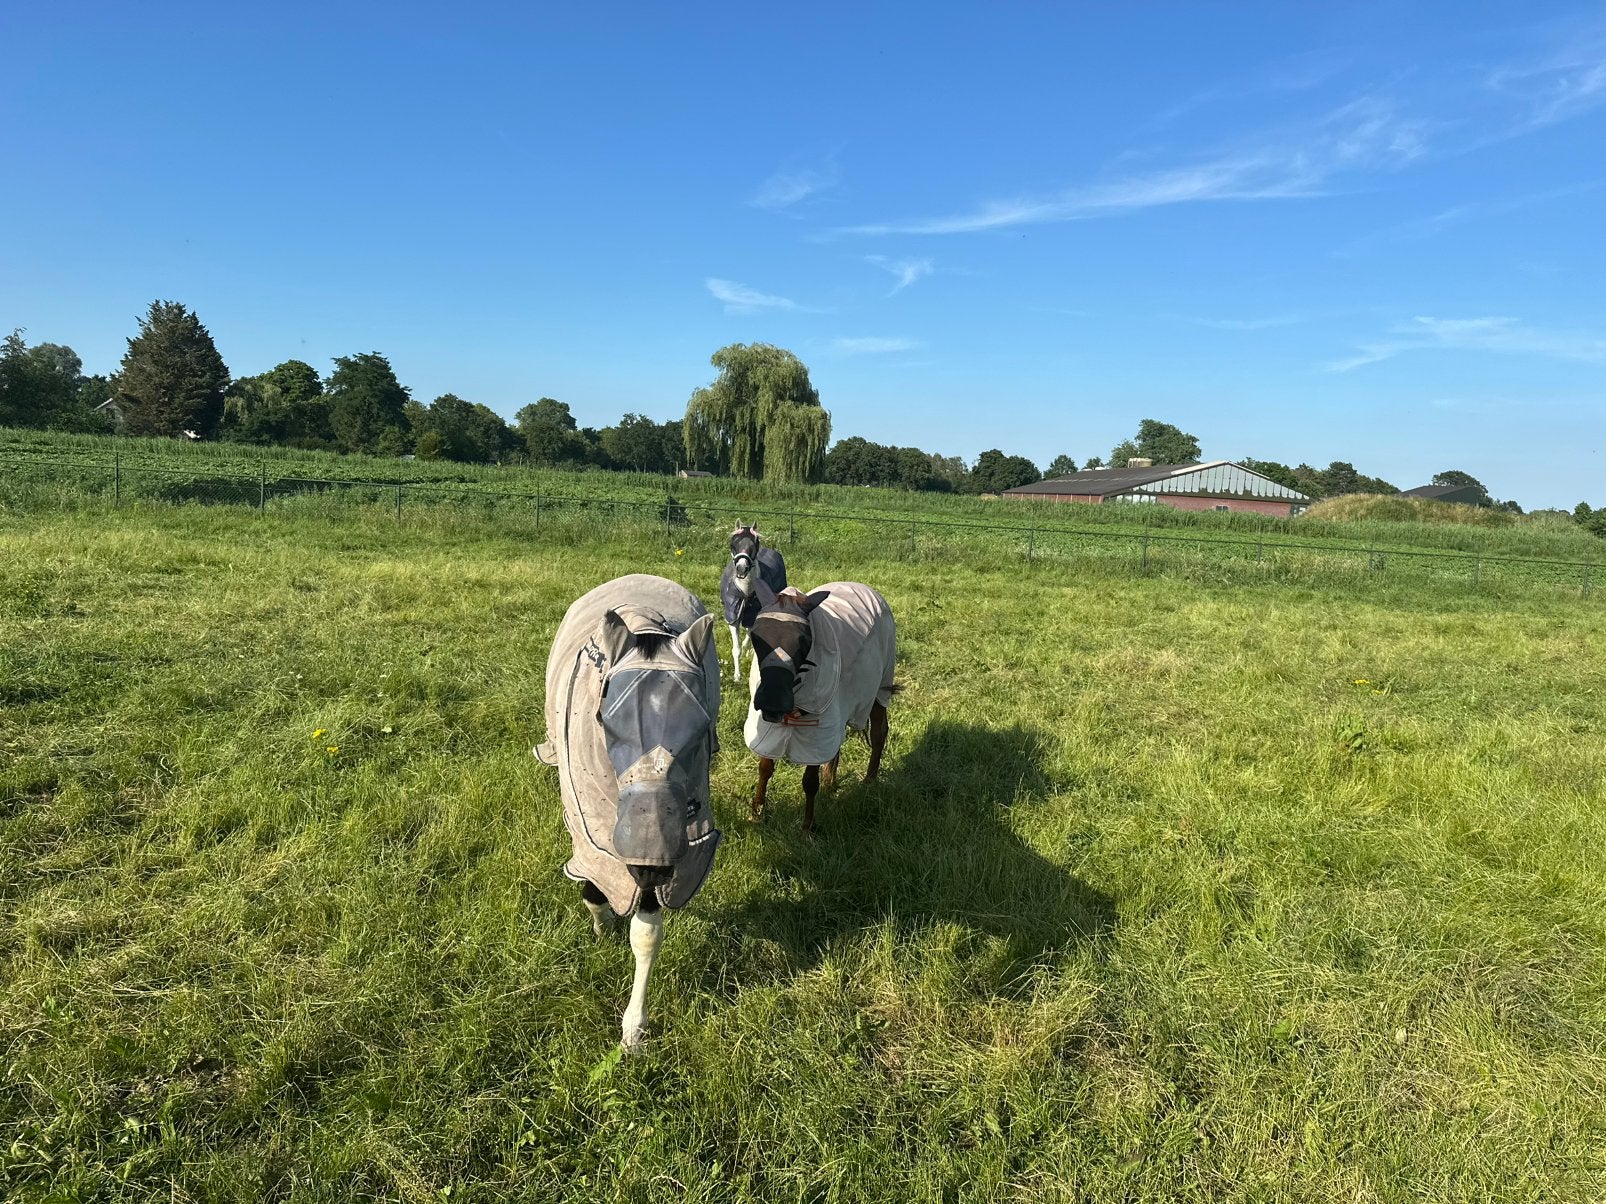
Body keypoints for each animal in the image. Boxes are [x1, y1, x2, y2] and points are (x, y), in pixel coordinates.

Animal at [534, 574, 721, 1050]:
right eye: (604, 719)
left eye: (701, 726)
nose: (649, 863)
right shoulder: (591, 822)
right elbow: (594, 875)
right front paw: (602, 926)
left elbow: (648, 932)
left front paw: (634, 1028)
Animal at [719, 524, 787, 682]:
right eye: (733, 543)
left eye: (755, 544)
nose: (741, 568)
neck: (745, 592)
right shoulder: (732, 615)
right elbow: (736, 648)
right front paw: (737, 676)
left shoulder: (753, 612)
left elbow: (750, 633)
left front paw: (747, 652)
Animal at [743, 581, 897, 832]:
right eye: (757, 636)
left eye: (804, 640)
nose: (773, 700)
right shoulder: (768, 727)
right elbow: (765, 768)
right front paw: (757, 812)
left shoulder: (816, 729)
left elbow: (809, 781)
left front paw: (807, 826)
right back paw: (830, 780)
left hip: (880, 686)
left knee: (879, 731)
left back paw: (869, 781)